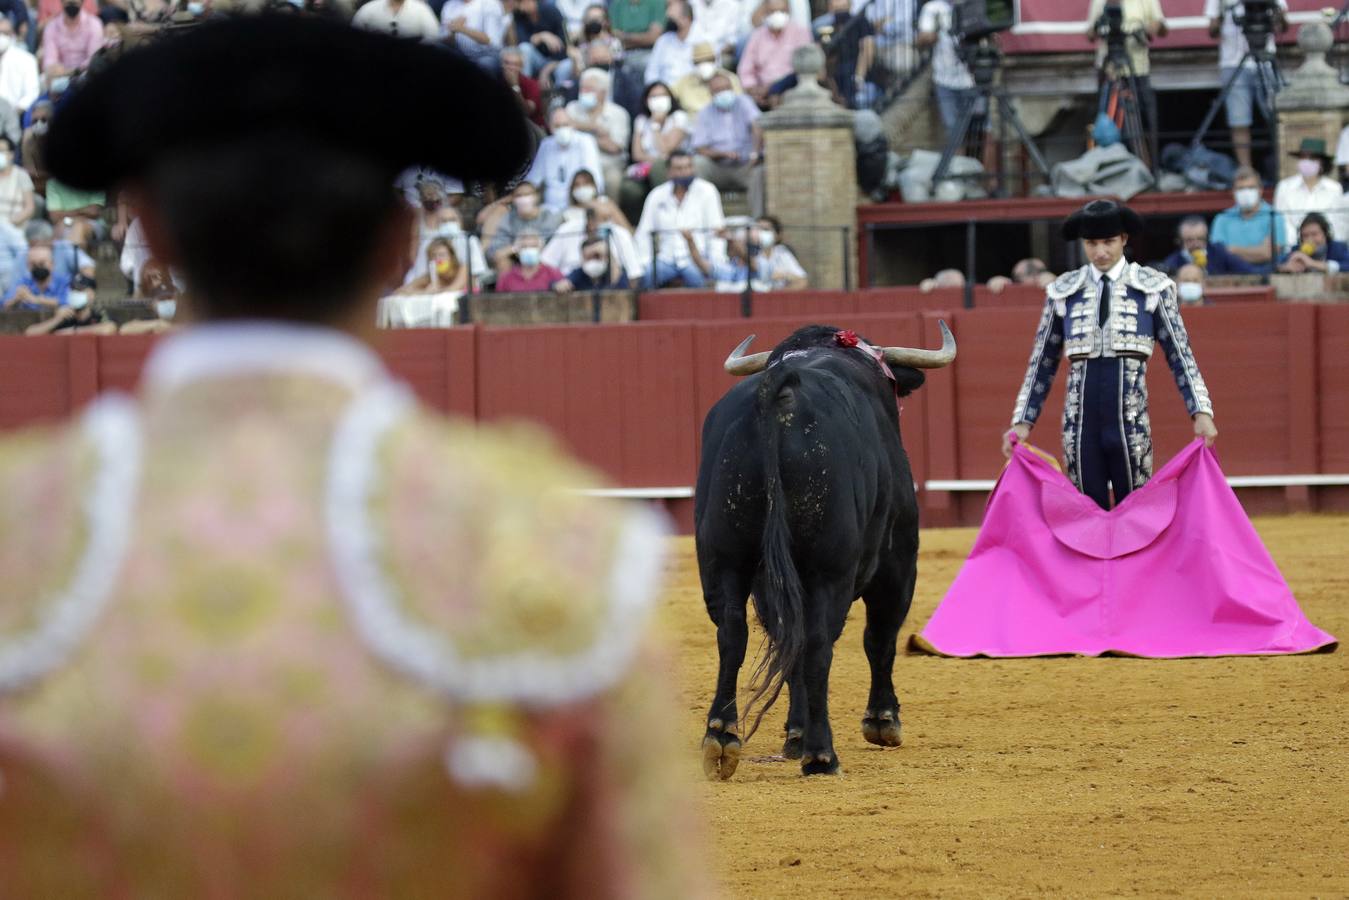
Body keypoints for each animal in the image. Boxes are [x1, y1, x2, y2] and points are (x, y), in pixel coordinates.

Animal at [696, 325, 960, 782]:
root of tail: (778, 391)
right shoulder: (898, 564)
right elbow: (879, 638)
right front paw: (882, 721)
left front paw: (794, 734)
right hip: (829, 570)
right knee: (819, 644)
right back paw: (821, 755)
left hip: (723, 559)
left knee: (733, 633)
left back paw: (721, 739)